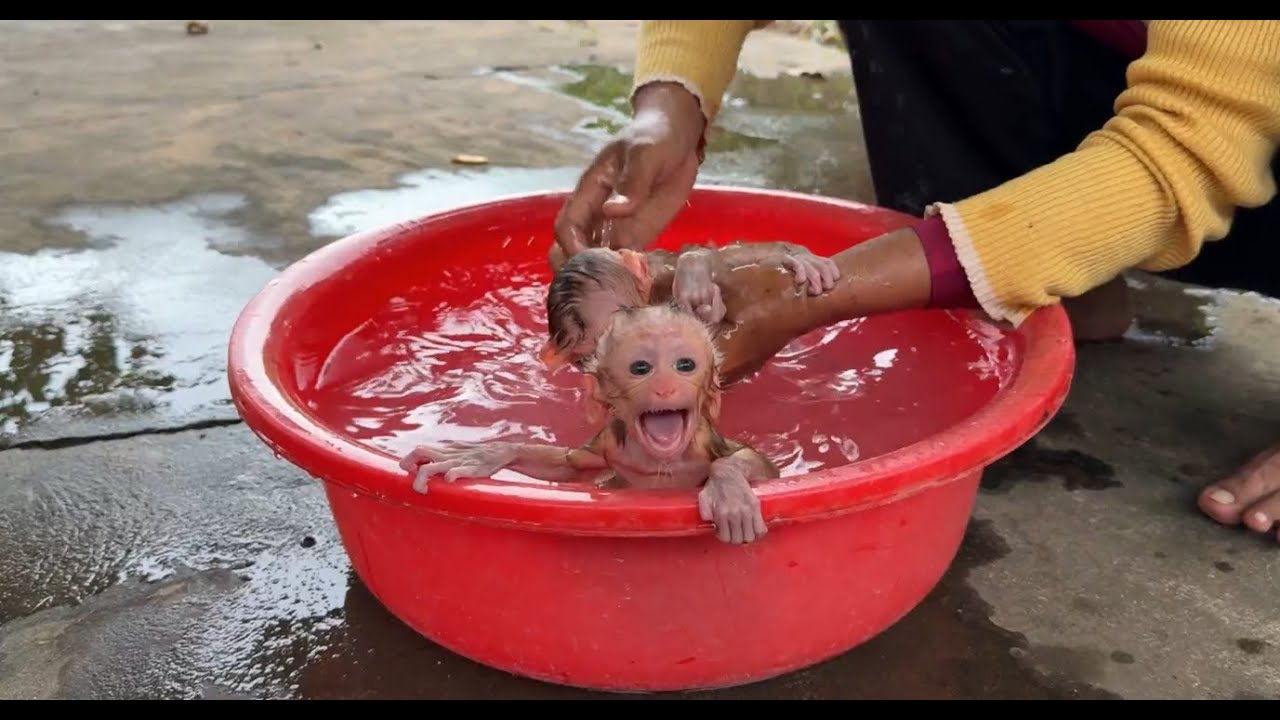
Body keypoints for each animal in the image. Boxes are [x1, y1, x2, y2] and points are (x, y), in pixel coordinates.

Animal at [399, 303, 780, 545]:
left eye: (684, 365)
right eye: (641, 368)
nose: (665, 387)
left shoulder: (703, 441)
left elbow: (757, 465)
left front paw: (728, 488)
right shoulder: (611, 443)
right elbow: (570, 465)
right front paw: (487, 455)